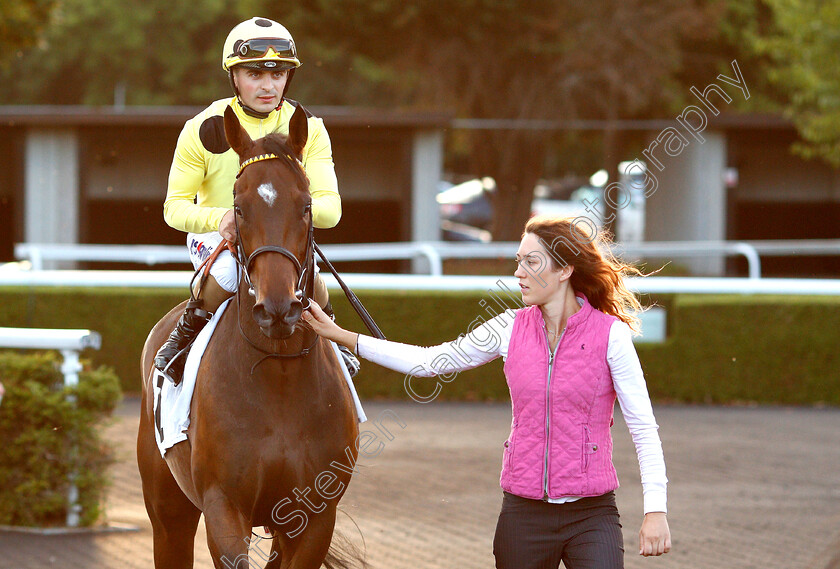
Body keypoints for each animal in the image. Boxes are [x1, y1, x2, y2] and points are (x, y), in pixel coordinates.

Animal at [139, 104, 360, 564]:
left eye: (307, 204)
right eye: (238, 207)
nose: (277, 309)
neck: (279, 377)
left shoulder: (314, 514)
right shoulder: (224, 505)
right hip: (168, 512)